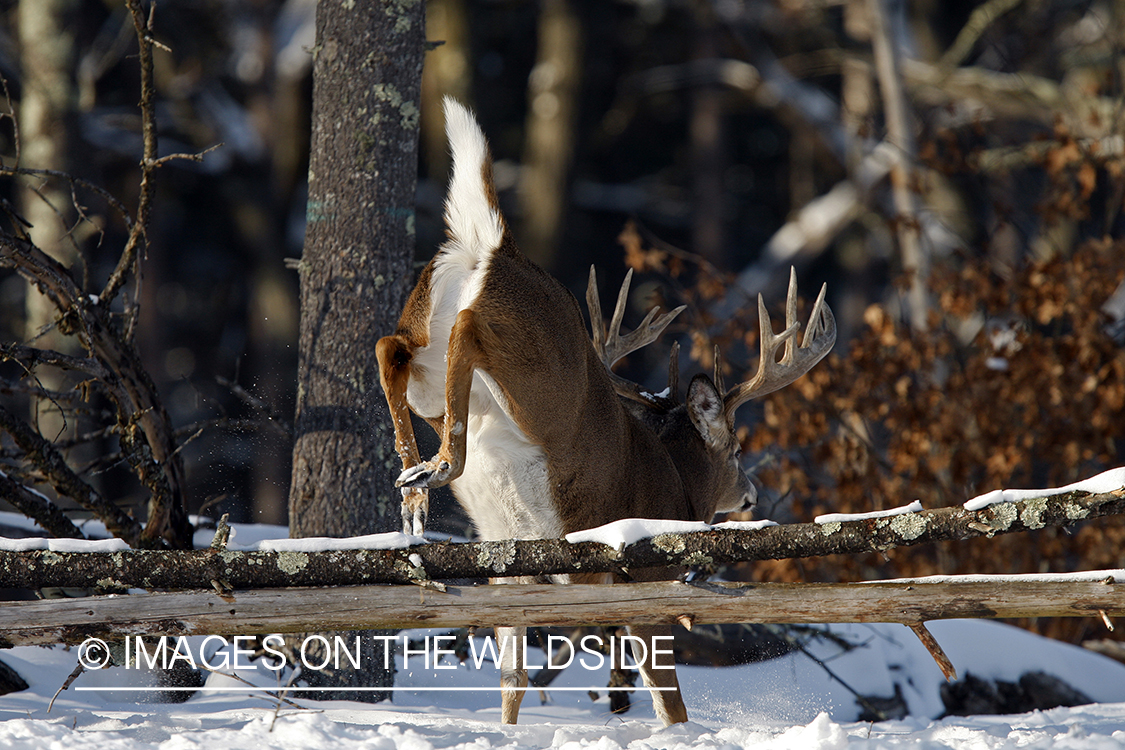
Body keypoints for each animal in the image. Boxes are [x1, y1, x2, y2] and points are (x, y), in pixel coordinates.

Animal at [373, 99, 832, 728]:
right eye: (737, 449)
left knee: (388, 346)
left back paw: (414, 483)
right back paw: (438, 468)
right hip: (543, 384)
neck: (679, 489)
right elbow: (669, 699)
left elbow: (512, 681)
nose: (750, 494)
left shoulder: (514, 568)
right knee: (467, 333)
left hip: (426, 352)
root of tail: (496, 246)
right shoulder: (647, 579)